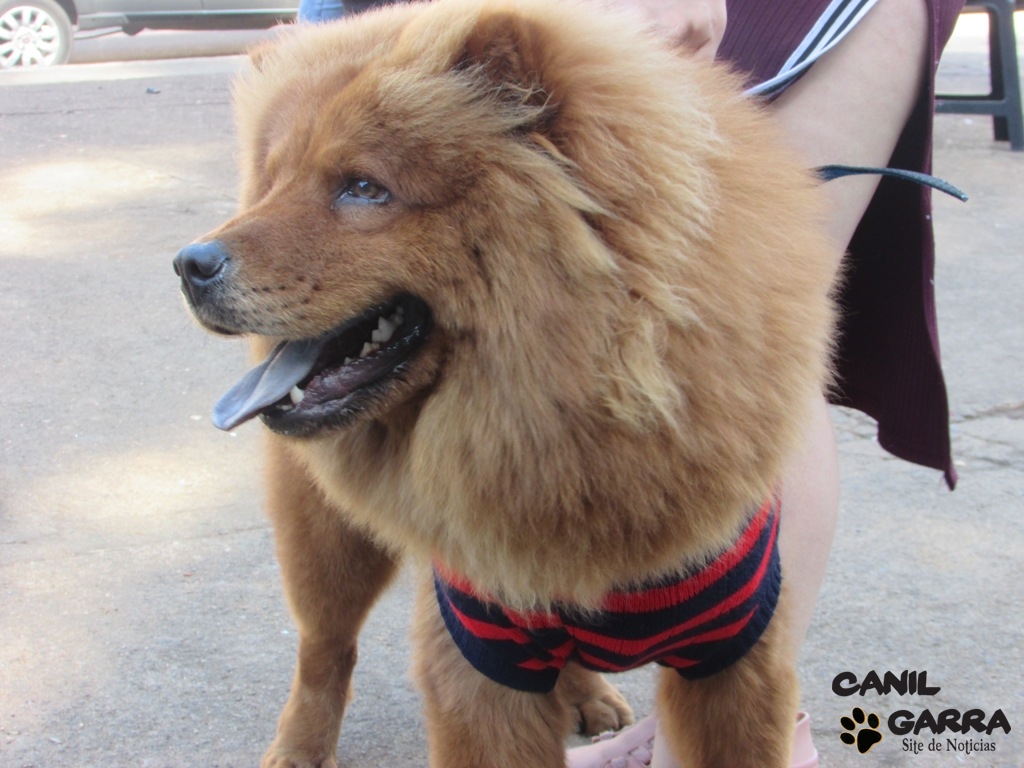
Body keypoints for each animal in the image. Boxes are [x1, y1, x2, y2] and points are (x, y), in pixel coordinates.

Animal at [174, 1, 837, 765]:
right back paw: (299, 747)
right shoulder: (481, 656)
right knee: (324, 650)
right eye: (274, 181)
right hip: (326, 540)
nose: (191, 263)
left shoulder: (736, 656)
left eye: (363, 188)